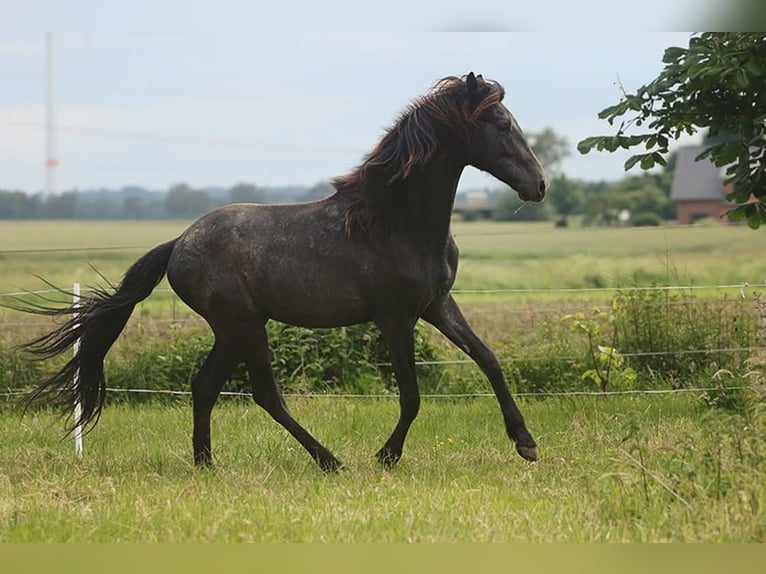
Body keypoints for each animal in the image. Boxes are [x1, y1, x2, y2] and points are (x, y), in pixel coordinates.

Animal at [21, 72, 548, 471]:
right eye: (501, 123)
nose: (538, 185)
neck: (395, 221)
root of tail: (178, 245)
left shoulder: (437, 304)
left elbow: (488, 359)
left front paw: (525, 442)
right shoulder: (396, 318)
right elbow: (412, 395)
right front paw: (387, 456)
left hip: (232, 331)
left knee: (205, 386)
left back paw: (206, 463)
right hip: (245, 326)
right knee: (266, 396)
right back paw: (329, 461)